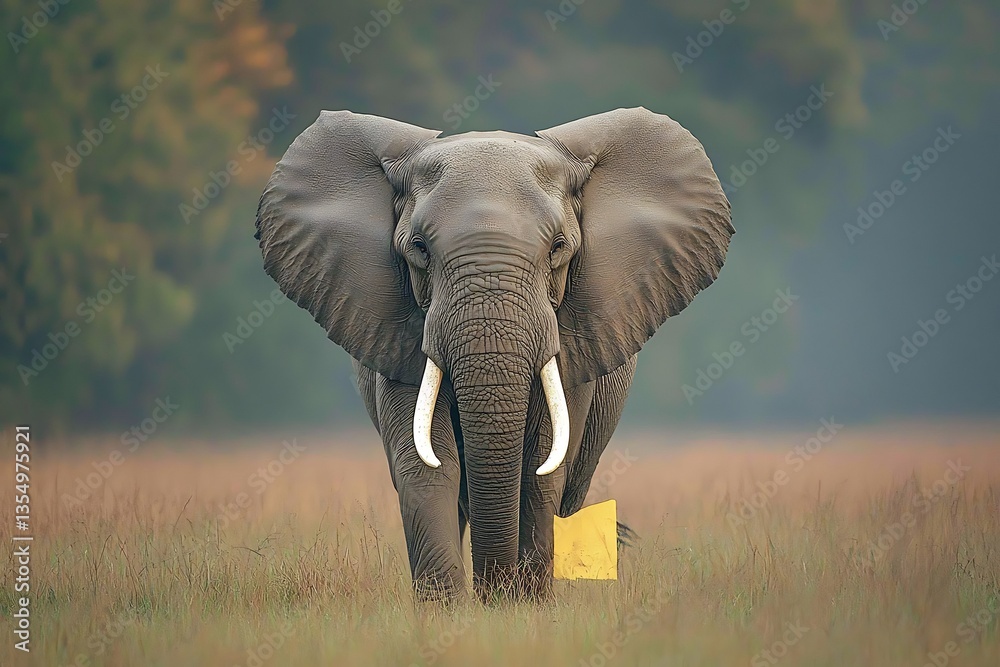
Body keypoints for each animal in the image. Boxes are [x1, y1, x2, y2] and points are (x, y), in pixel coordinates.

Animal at [255, 107, 733, 602]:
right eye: (419, 248)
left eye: (558, 247)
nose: (493, 591)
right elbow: (428, 464)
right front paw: (445, 609)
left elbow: (542, 464)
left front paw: (524, 605)